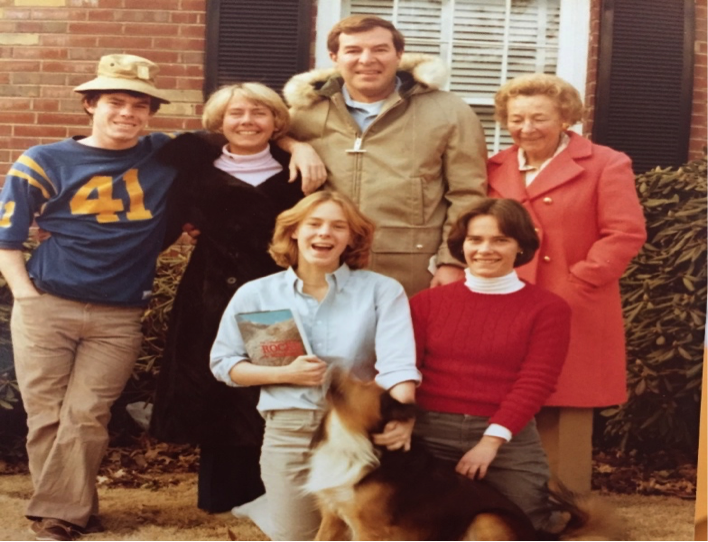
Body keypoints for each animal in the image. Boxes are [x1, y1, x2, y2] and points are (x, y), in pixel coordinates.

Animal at [305, 369, 624, 541]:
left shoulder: (369, 528)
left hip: (486, 518)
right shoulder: (333, 515)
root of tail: (539, 534)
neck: (353, 437)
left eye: (364, 384)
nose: (332, 365)